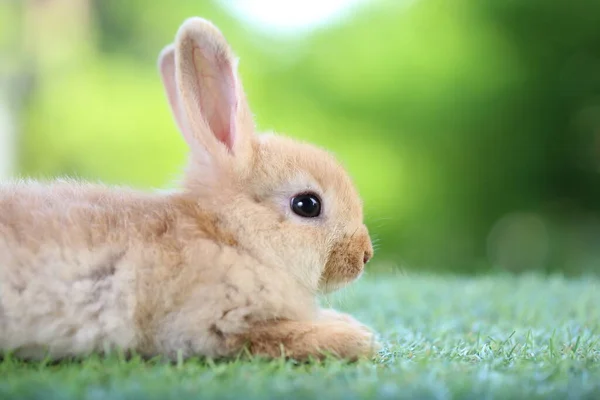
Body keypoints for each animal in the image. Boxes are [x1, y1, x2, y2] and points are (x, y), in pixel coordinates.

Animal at [0, 17, 380, 360]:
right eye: (307, 204)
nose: (364, 255)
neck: (233, 237)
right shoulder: (218, 324)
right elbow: (278, 338)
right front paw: (356, 338)